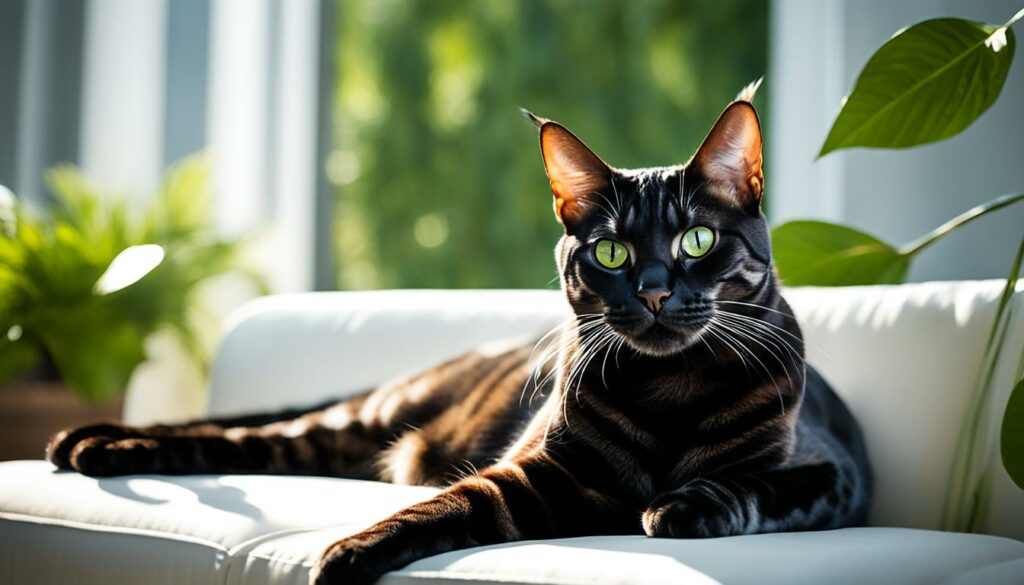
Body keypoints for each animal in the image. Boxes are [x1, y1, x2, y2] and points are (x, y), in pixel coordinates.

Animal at [46, 81, 872, 585]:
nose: (655, 289)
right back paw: (96, 446)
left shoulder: (836, 475)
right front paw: (345, 552)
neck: (670, 389)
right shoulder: (536, 475)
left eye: (697, 240)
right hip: (353, 423)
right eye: (610, 252)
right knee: (241, 438)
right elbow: (445, 506)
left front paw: (684, 504)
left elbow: (758, 482)